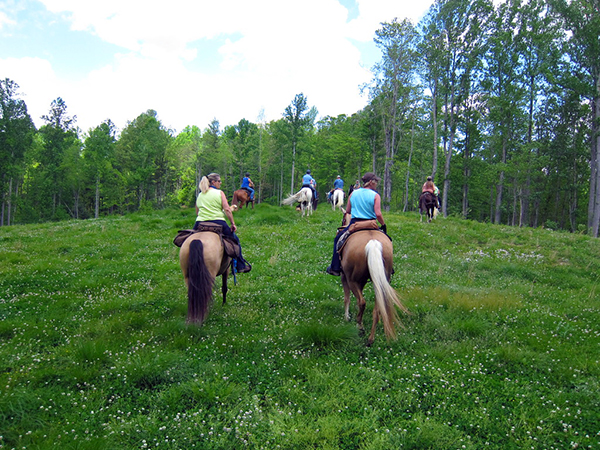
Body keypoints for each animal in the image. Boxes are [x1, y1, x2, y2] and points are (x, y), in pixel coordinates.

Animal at [340, 214, 410, 344]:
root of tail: (373, 243)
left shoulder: (345, 277)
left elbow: (347, 298)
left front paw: (346, 317)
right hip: (379, 282)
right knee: (377, 309)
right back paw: (370, 339)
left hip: (352, 280)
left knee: (362, 302)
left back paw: (360, 327)